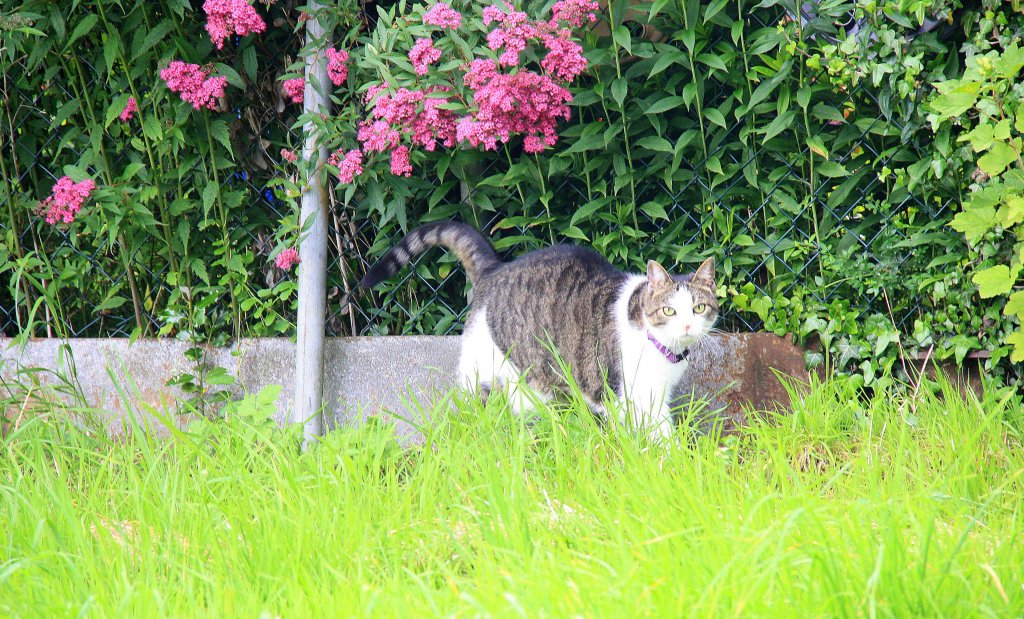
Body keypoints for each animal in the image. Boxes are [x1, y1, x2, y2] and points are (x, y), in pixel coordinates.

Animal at [362, 220, 720, 442]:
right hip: (492, 375)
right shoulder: (628, 396)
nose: (687, 325)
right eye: (669, 310)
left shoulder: (656, 397)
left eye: (699, 308)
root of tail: (495, 269)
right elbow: (656, 437)